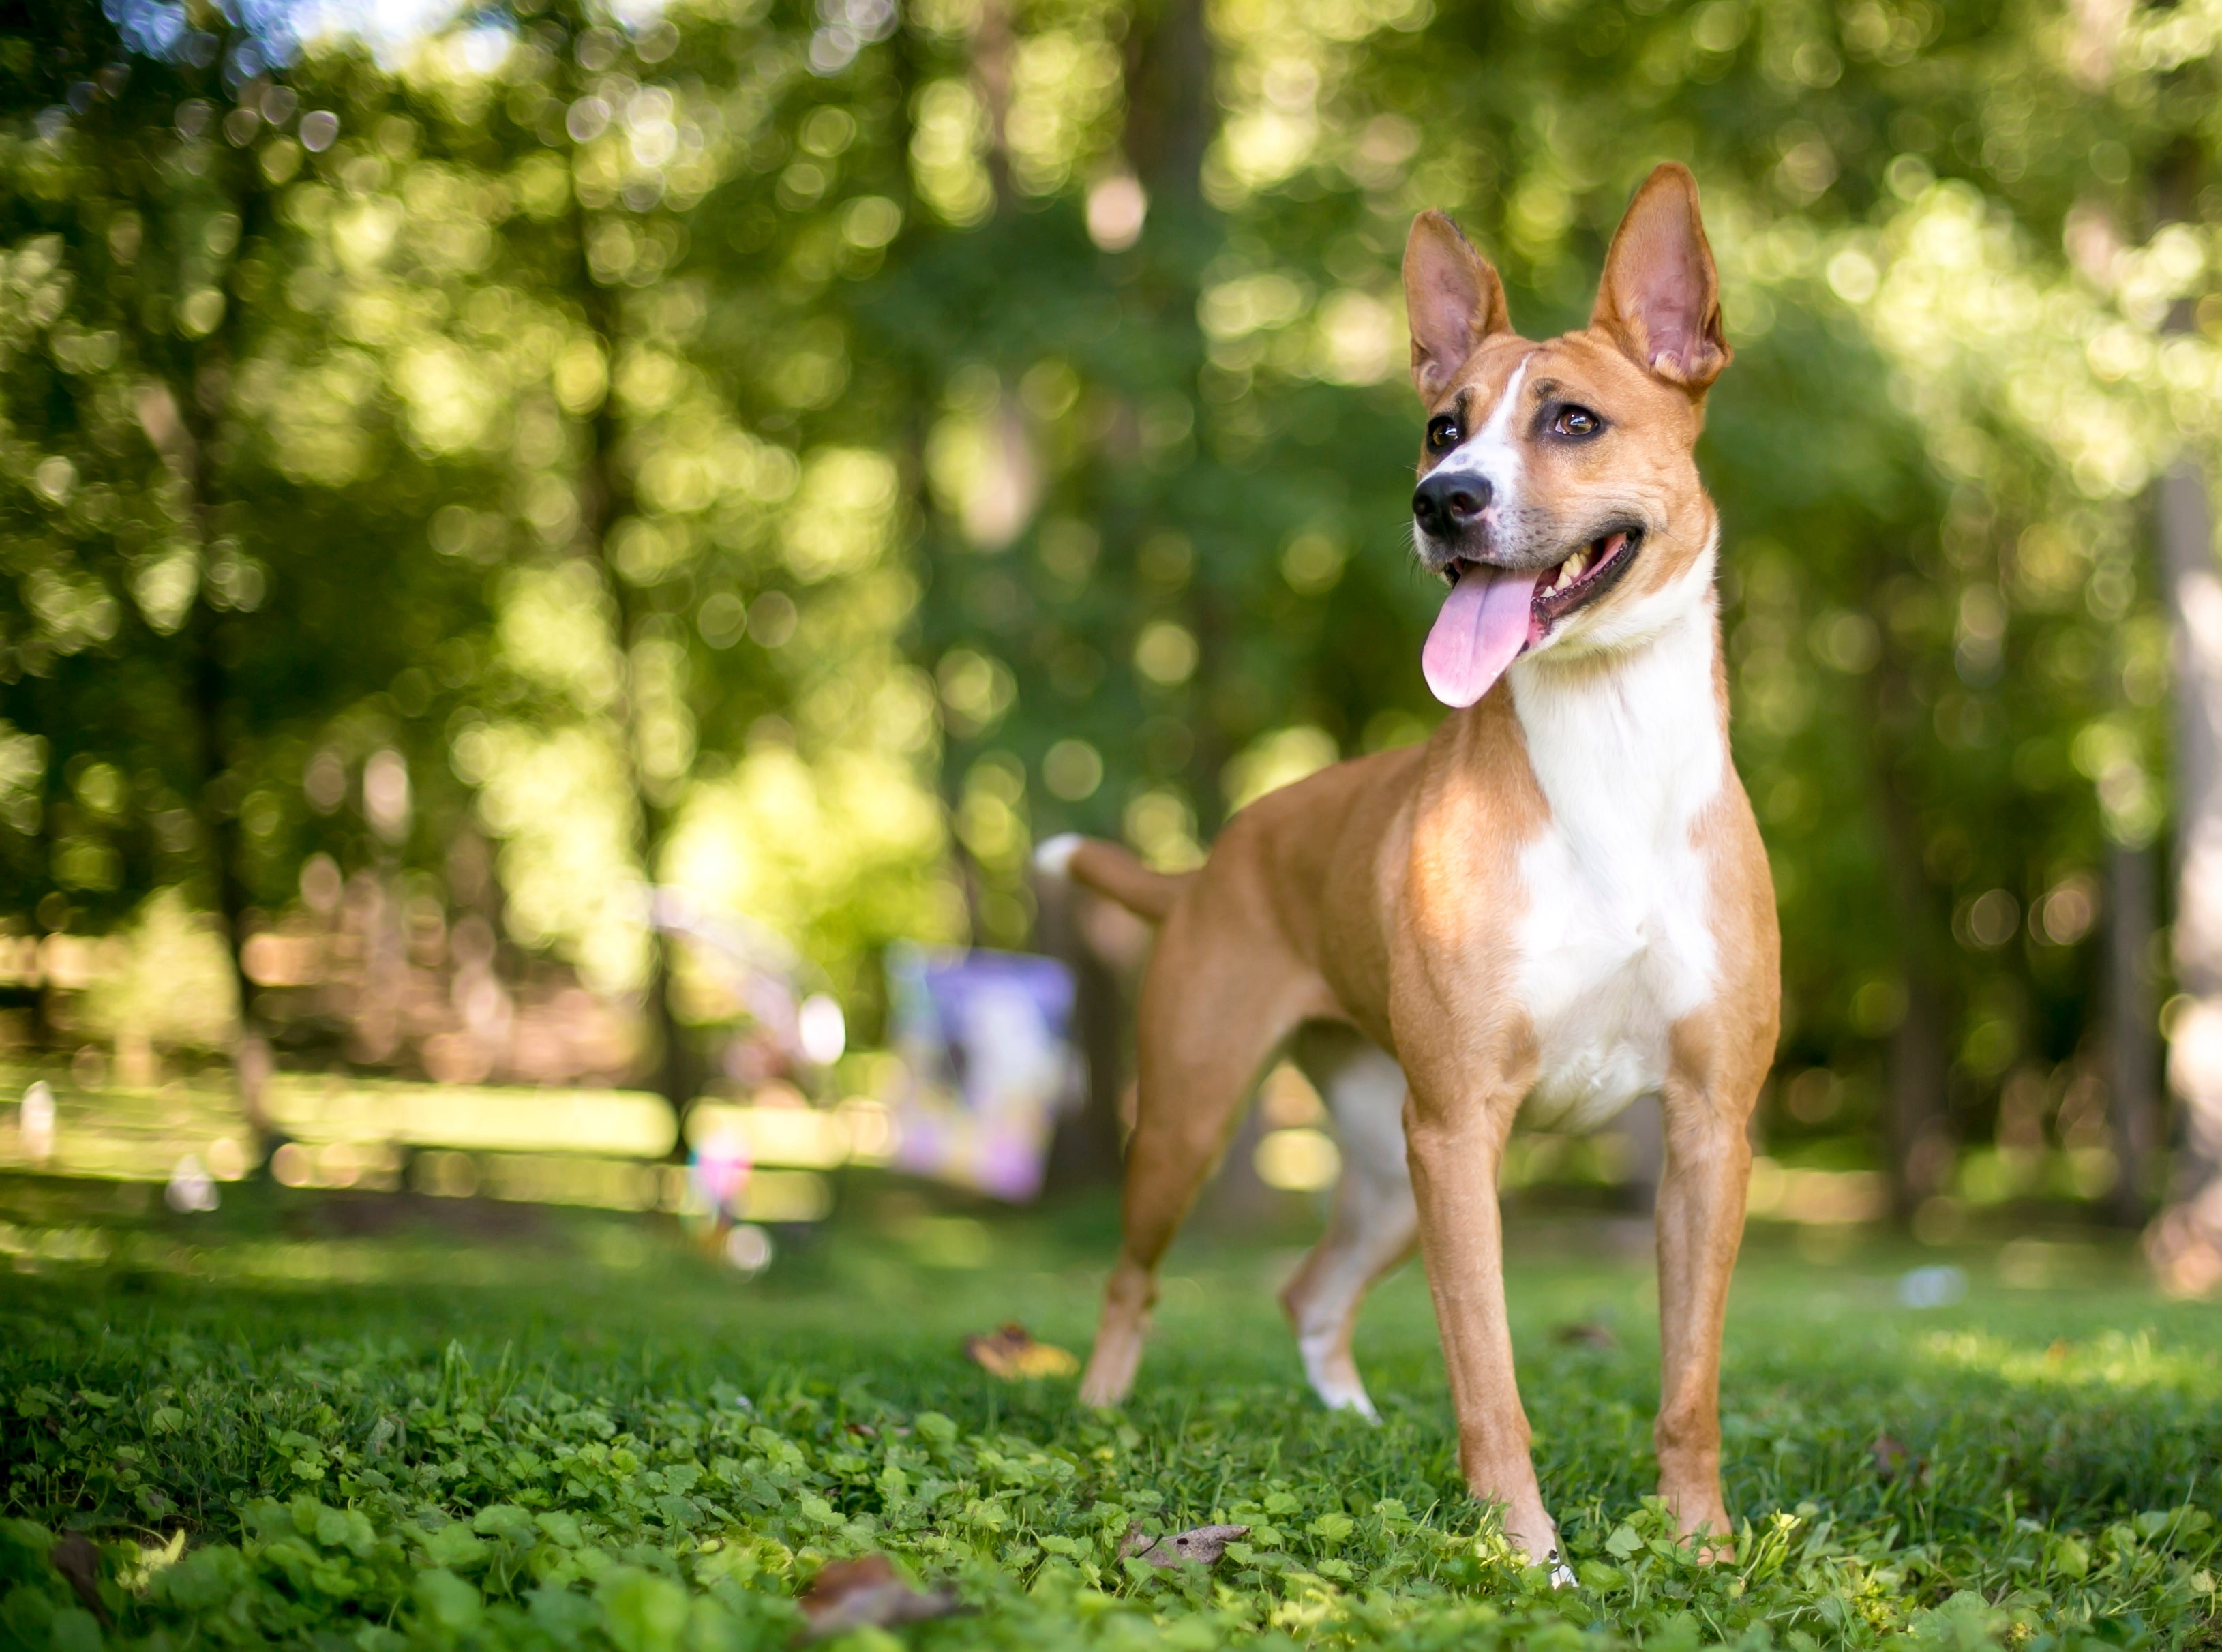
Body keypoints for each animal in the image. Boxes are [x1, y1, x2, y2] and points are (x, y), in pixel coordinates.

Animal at [1031, 168, 1777, 1574]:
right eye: (1440, 428)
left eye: (1573, 419)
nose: (1444, 502)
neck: (1604, 748)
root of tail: (1213, 858)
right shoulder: (1458, 1130)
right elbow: (1487, 1375)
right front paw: (1525, 1553)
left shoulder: (1708, 1127)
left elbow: (1690, 1381)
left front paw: (1701, 1546)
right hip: (1209, 1118)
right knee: (1131, 1275)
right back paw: (1097, 1415)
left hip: (1383, 1174)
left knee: (1307, 1288)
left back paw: (1349, 1422)